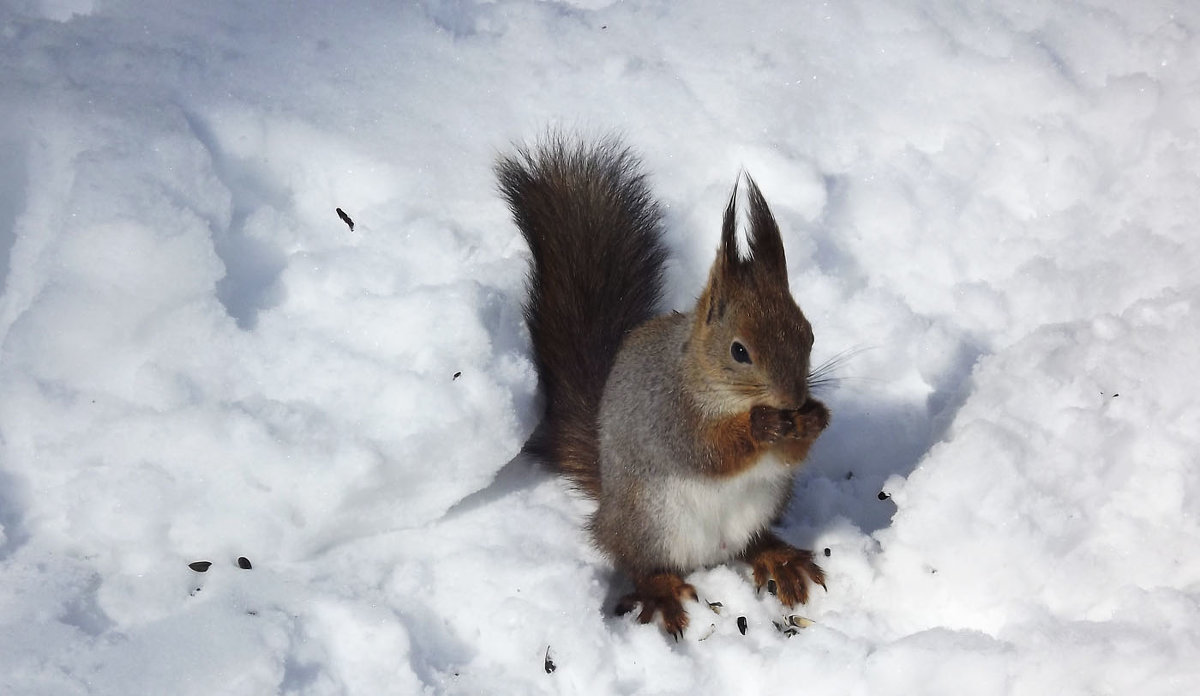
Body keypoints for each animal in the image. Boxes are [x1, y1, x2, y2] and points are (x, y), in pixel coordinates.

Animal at [494, 134, 825, 638]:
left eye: (808, 334)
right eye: (739, 351)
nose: (792, 400)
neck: (706, 380)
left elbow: (790, 454)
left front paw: (815, 418)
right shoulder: (669, 414)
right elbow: (709, 453)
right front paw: (762, 426)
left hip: (763, 504)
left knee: (751, 543)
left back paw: (778, 558)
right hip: (648, 520)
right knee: (637, 562)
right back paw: (662, 592)